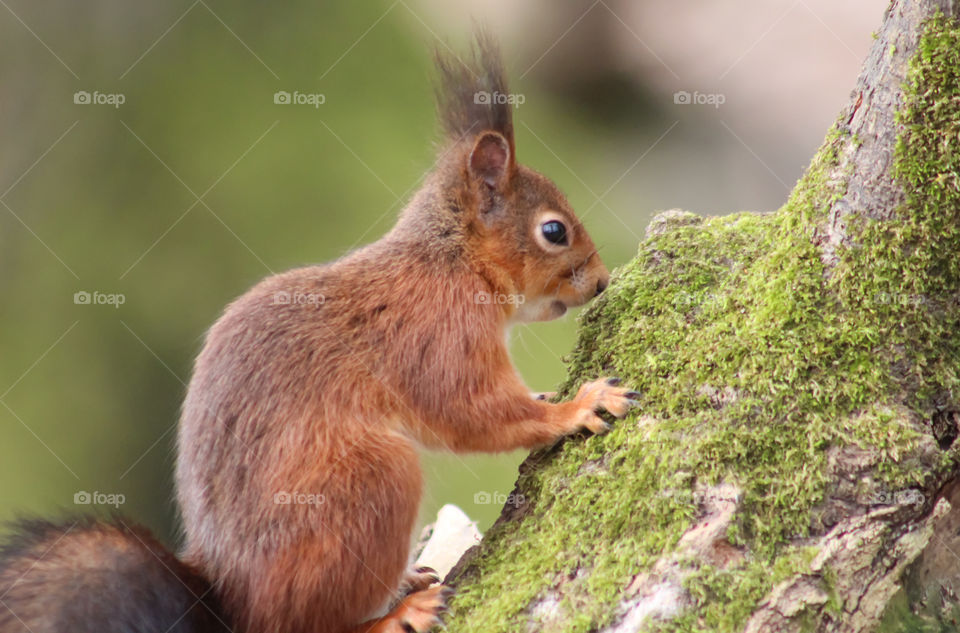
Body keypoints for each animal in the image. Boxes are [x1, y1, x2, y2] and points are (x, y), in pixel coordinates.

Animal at [0, 33, 636, 633]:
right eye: (554, 231)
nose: (602, 282)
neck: (452, 262)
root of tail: (231, 603)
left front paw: (550, 395)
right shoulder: (437, 333)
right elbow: (470, 409)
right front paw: (576, 406)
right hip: (368, 481)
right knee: (310, 620)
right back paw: (395, 613)